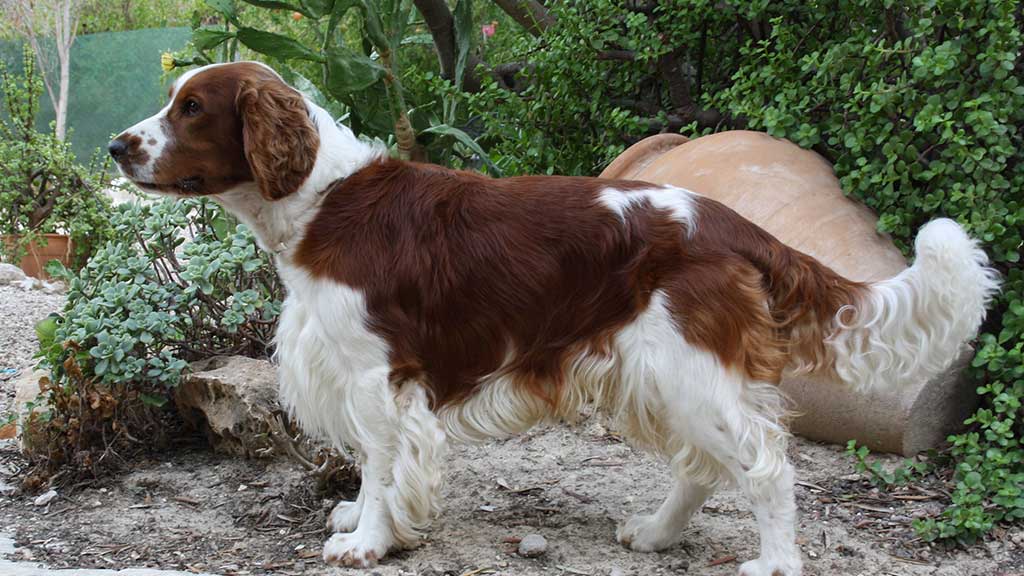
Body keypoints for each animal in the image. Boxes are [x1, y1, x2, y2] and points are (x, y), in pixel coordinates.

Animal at [110, 60, 999, 569]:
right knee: (705, 466)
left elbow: (383, 462)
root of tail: (730, 223)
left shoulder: (375, 376)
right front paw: (365, 519)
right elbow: (371, 467)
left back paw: (774, 564)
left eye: (192, 109)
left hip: (684, 368)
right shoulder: (360, 376)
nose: (118, 146)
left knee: (765, 467)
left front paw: (367, 543)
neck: (323, 200)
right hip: (660, 374)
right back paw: (656, 534)